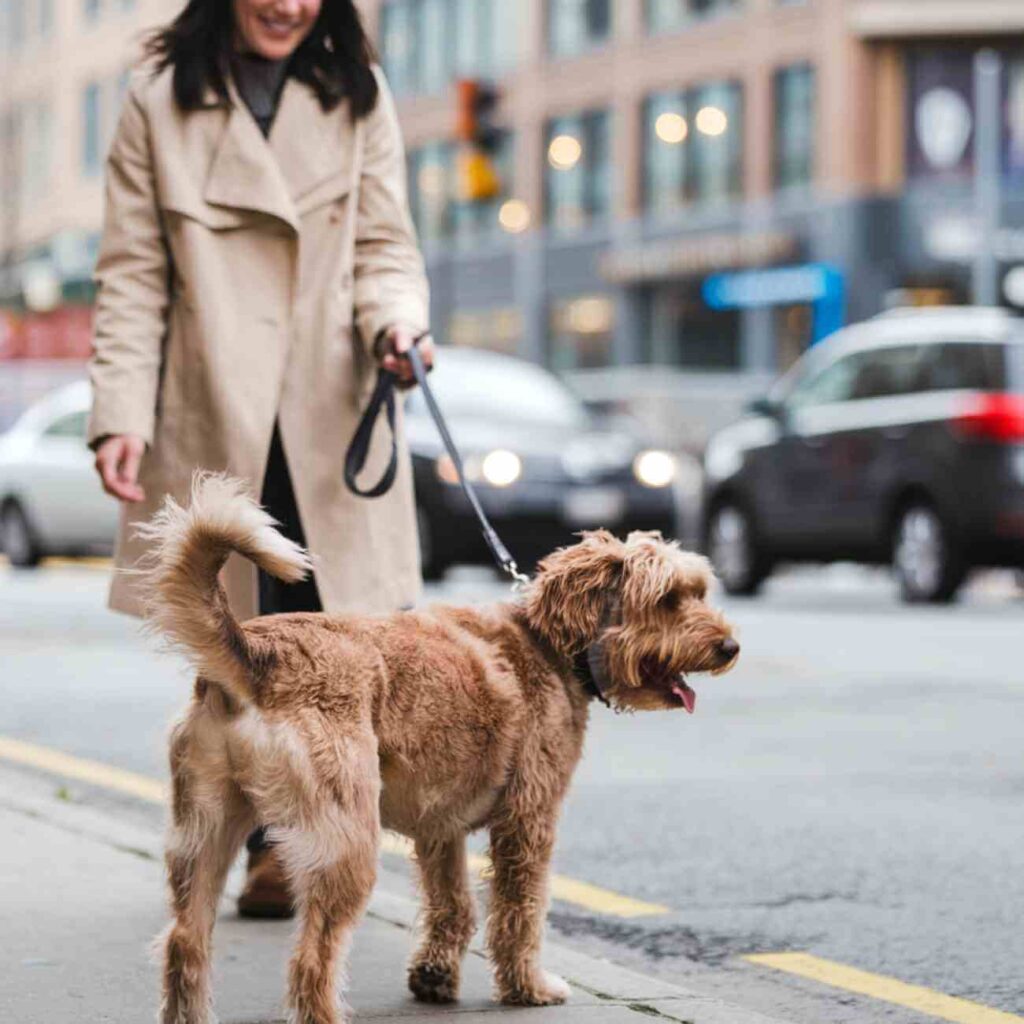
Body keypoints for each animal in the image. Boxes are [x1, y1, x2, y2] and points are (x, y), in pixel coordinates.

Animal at [142, 473, 737, 1024]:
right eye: (667, 599)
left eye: (699, 591)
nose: (730, 647)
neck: (547, 641)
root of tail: (257, 654)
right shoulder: (528, 822)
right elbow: (520, 912)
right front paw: (528, 987)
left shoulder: (439, 829)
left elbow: (453, 905)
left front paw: (434, 976)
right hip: (344, 845)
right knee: (312, 960)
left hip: (203, 836)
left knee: (183, 944)